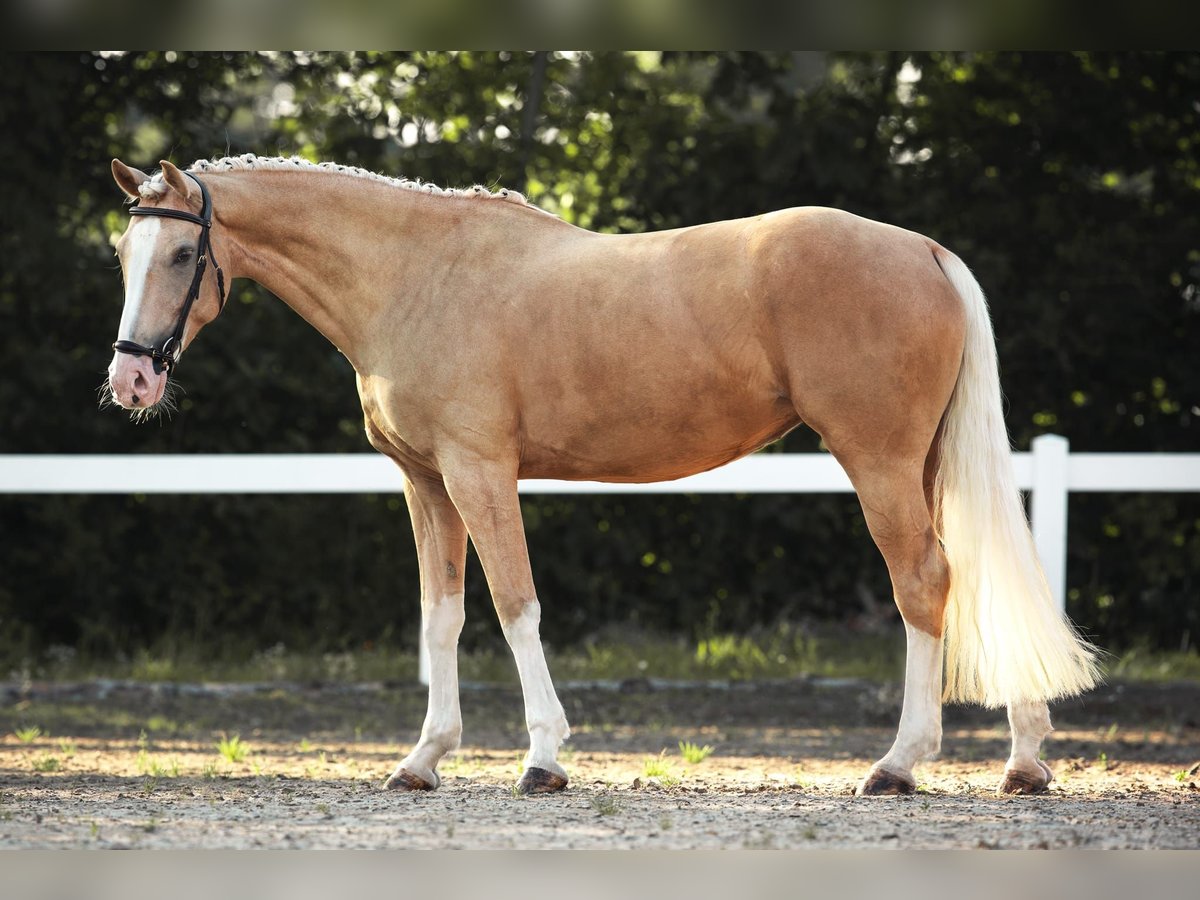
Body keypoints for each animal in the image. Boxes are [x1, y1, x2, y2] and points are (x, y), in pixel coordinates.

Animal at [103, 153, 1099, 796]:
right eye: (122, 256)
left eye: (184, 254)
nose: (131, 380)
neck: (417, 275)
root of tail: (925, 250)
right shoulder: (426, 485)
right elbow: (442, 616)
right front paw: (423, 759)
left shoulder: (480, 472)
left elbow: (515, 606)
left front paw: (543, 759)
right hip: (921, 465)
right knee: (973, 575)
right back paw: (1024, 762)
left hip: (879, 460)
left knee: (923, 581)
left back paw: (898, 764)